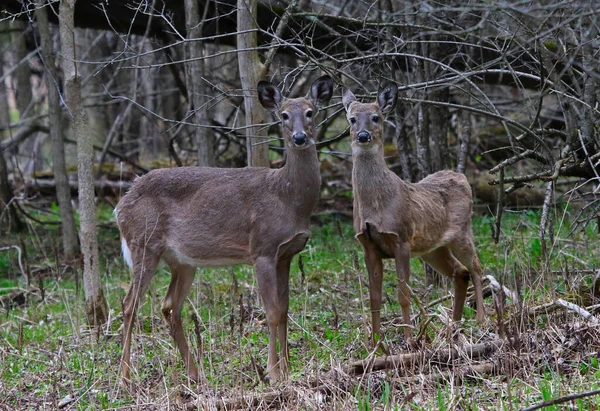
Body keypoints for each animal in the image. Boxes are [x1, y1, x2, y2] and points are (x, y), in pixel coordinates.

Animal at [116, 74, 332, 384]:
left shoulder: (287, 254)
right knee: (129, 304)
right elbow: (271, 311)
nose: (300, 138)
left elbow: (285, 309)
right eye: (283, 115)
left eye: (310, 112)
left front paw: (288, 370)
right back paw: (125, 378)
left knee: (169, 306)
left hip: (182, 261)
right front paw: (273, 372)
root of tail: (120, 205)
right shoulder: (262, 249)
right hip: (143, 243)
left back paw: (195, 373)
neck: (289, 197)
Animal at [342, 84, 482, 344]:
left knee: (477, 269)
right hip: (433, 249)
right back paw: (454, 326)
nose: (363, 136)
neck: (376, 206)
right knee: (461, 272)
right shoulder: (367, 245)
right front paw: (375, 343)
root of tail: (461, 176)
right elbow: (374, 298)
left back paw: (481, 321)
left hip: (462, 232)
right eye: (352, 119)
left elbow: (403, 295)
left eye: (376, 117)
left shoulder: (402, 238)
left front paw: (408, 339)